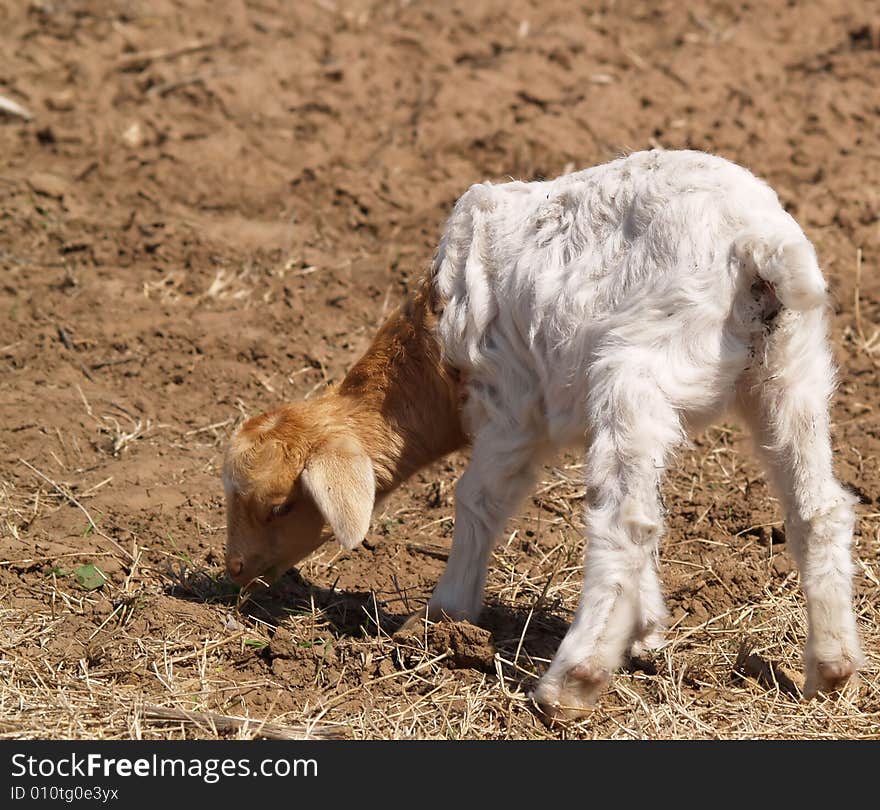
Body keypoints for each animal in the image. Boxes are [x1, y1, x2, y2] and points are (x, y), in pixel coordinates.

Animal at [223, 148, 864, 716]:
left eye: (279, 507)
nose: (234, 572)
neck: (433, 352)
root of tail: (756, 242)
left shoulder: (510, 409)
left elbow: (477, 501)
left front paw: (440, 618)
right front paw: (647, 631)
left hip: (634, 370)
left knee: (626, 522)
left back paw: (570, 685)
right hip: (791, 372)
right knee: (816, 509)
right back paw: (830, 670)